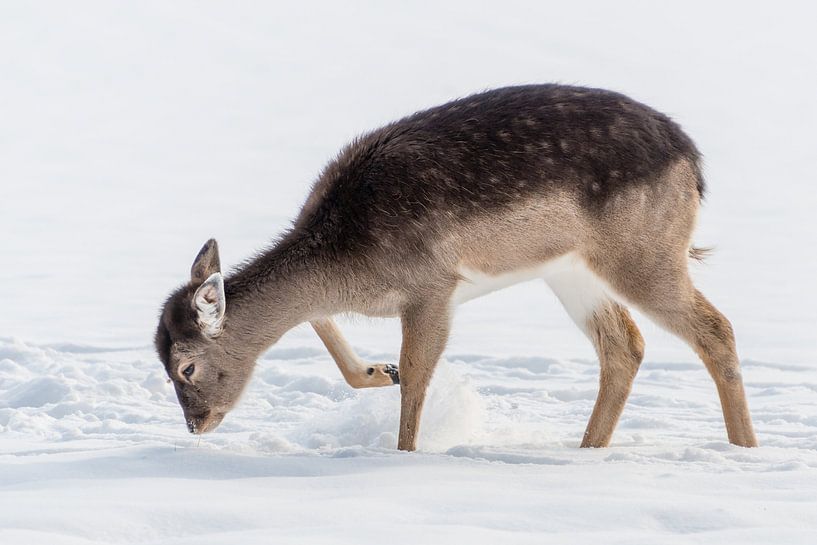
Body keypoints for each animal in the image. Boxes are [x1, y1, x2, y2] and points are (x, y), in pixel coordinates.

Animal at [154, 84, 757, 451]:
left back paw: (745, 449)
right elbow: (321, 322)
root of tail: (693, 161)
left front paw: (403, 449)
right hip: (571, 271)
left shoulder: (432, 286)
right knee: (624, 344)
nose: (196, 424)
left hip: (642, 253)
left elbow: (419, 373)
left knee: (716, 328)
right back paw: (587, 450)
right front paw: (378, 371)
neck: (347, 269)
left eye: (186, 368)